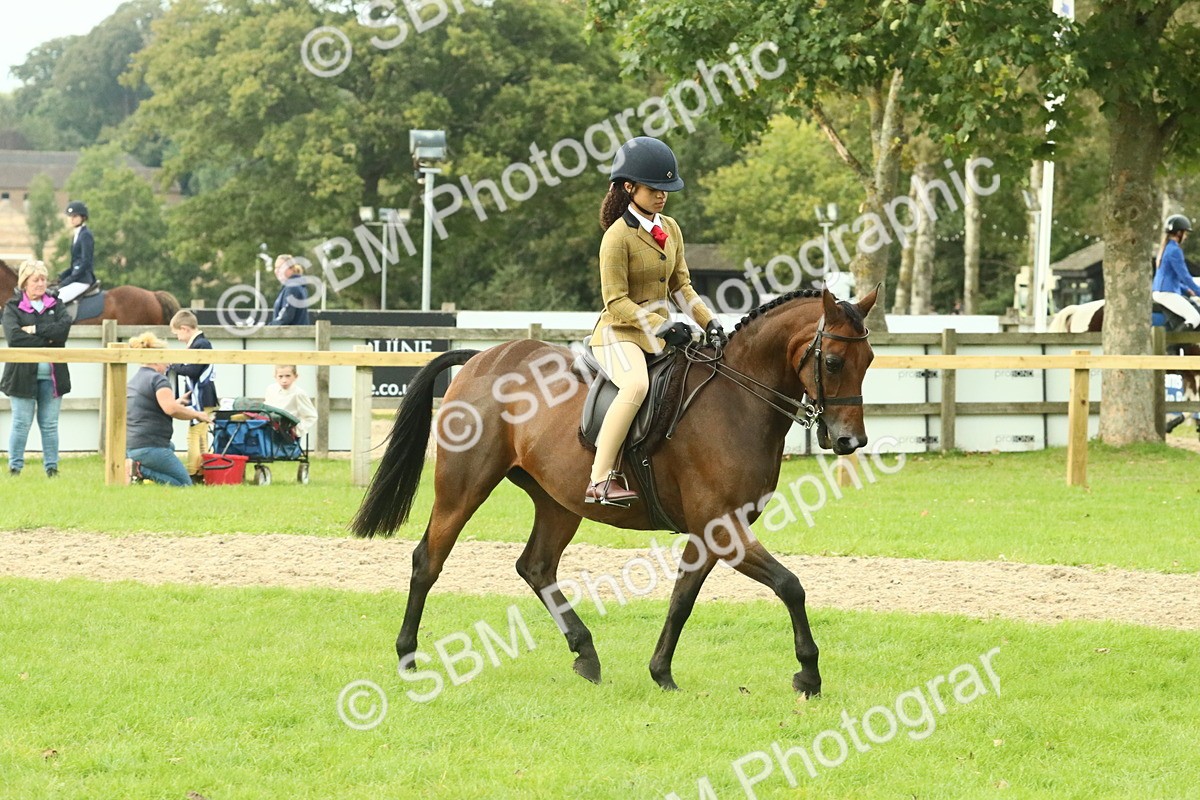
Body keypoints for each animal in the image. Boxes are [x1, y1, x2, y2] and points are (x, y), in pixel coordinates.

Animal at [352, 288, 878, 697]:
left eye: (869, 361)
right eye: (833, 361)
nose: (850, 441)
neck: (736, 400)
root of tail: (481, 357)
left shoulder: (712, 532)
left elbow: (682, 598)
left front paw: (661, 673)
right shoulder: (723, 527)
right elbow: (790, 586)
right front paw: (809, 675)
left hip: (559, 502)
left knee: (536, 567)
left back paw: (586, 654)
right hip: (463, 488)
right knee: (429, 560)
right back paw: (408, 658)